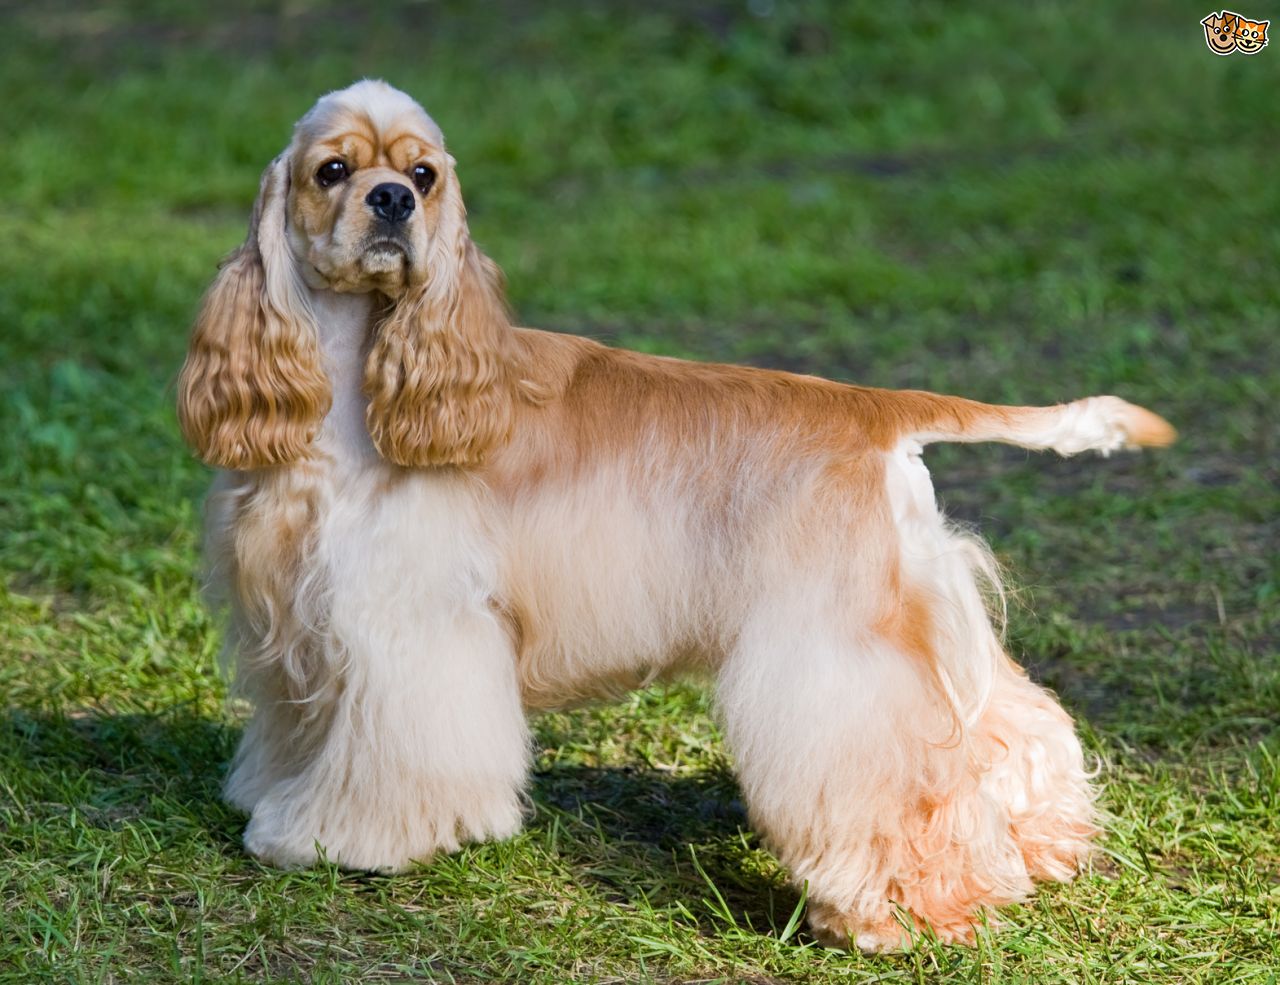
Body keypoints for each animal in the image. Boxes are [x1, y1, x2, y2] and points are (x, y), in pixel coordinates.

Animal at [175, 78, 1172, 951]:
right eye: (332, 170)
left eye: (424, 175)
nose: (389, 201)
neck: (357, 378)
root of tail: (875, 409)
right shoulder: (295, 618)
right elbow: (300, 727)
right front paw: (273, 799)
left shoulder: (409, 623)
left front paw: (335, 839)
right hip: (913, 613)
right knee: (1012, 723)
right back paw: (1048, 843)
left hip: (839, 651)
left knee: (898, 778)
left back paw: (906, 912)